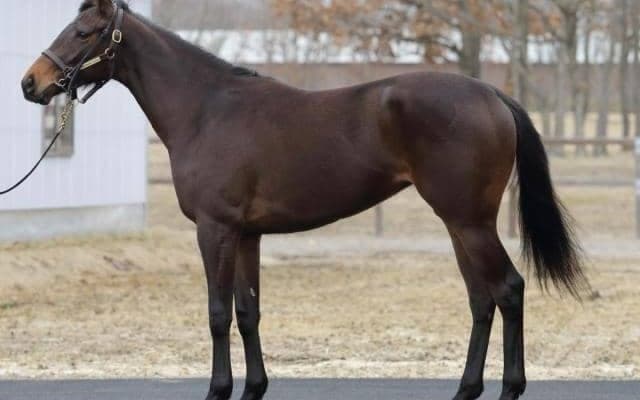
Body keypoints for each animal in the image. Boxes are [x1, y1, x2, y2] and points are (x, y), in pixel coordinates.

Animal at [22, 1, 587, 399]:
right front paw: (254, 388)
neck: (206, 109)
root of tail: (493, 95)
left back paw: (510, 388)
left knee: (508, 290)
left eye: (83, 33)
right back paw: (466, 390)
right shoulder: (246, 235)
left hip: (470, 223)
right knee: (481, 299)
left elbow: (217, 313)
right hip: (458, 224)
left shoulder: (215, 229)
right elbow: (247, 311)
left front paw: (218, 390)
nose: (31, 83)